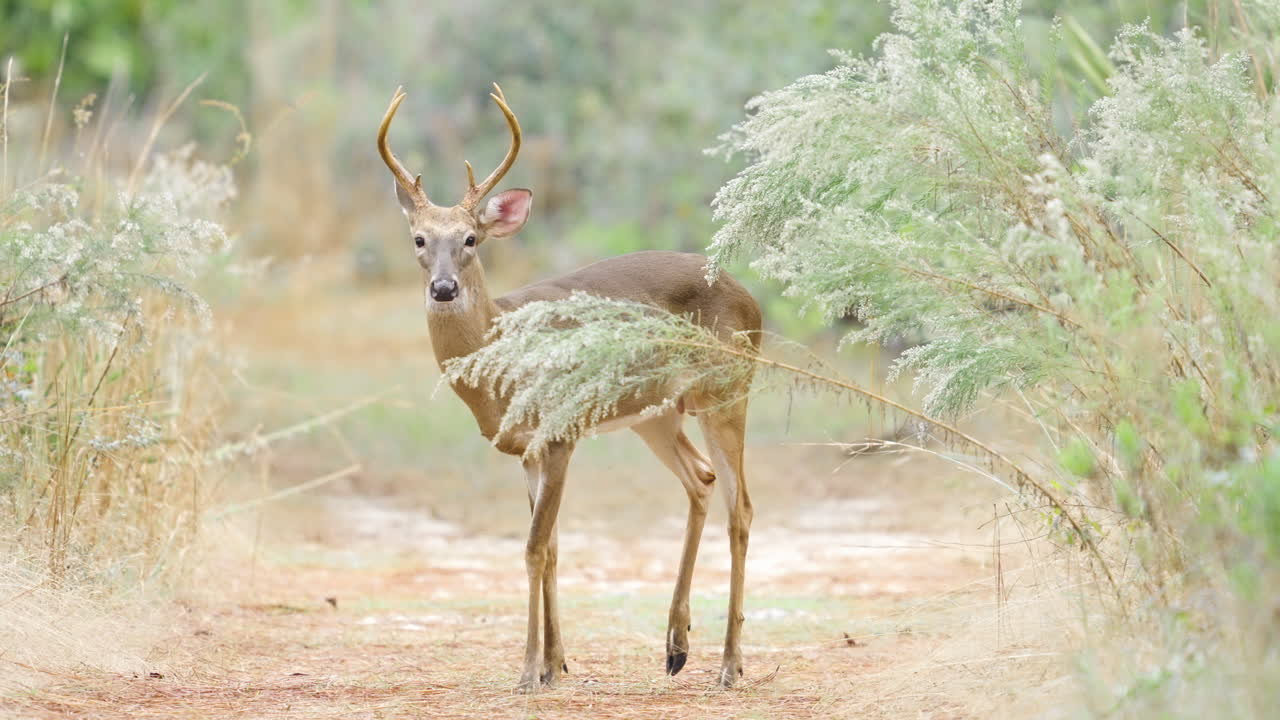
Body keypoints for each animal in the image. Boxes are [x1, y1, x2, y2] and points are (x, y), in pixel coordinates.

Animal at [377, 84, 762, 691]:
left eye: (470, 239)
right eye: (418, 239)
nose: (442, 288)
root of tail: (751, 298)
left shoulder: (559, 433)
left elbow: (534, 547)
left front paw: (528, 672)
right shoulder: (525, 449)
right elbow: (552, 547)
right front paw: (555, 663)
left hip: (726, 389)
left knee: (740, 504)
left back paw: (729, 665)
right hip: (657, 414)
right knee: (700, 482)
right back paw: (676, 647)